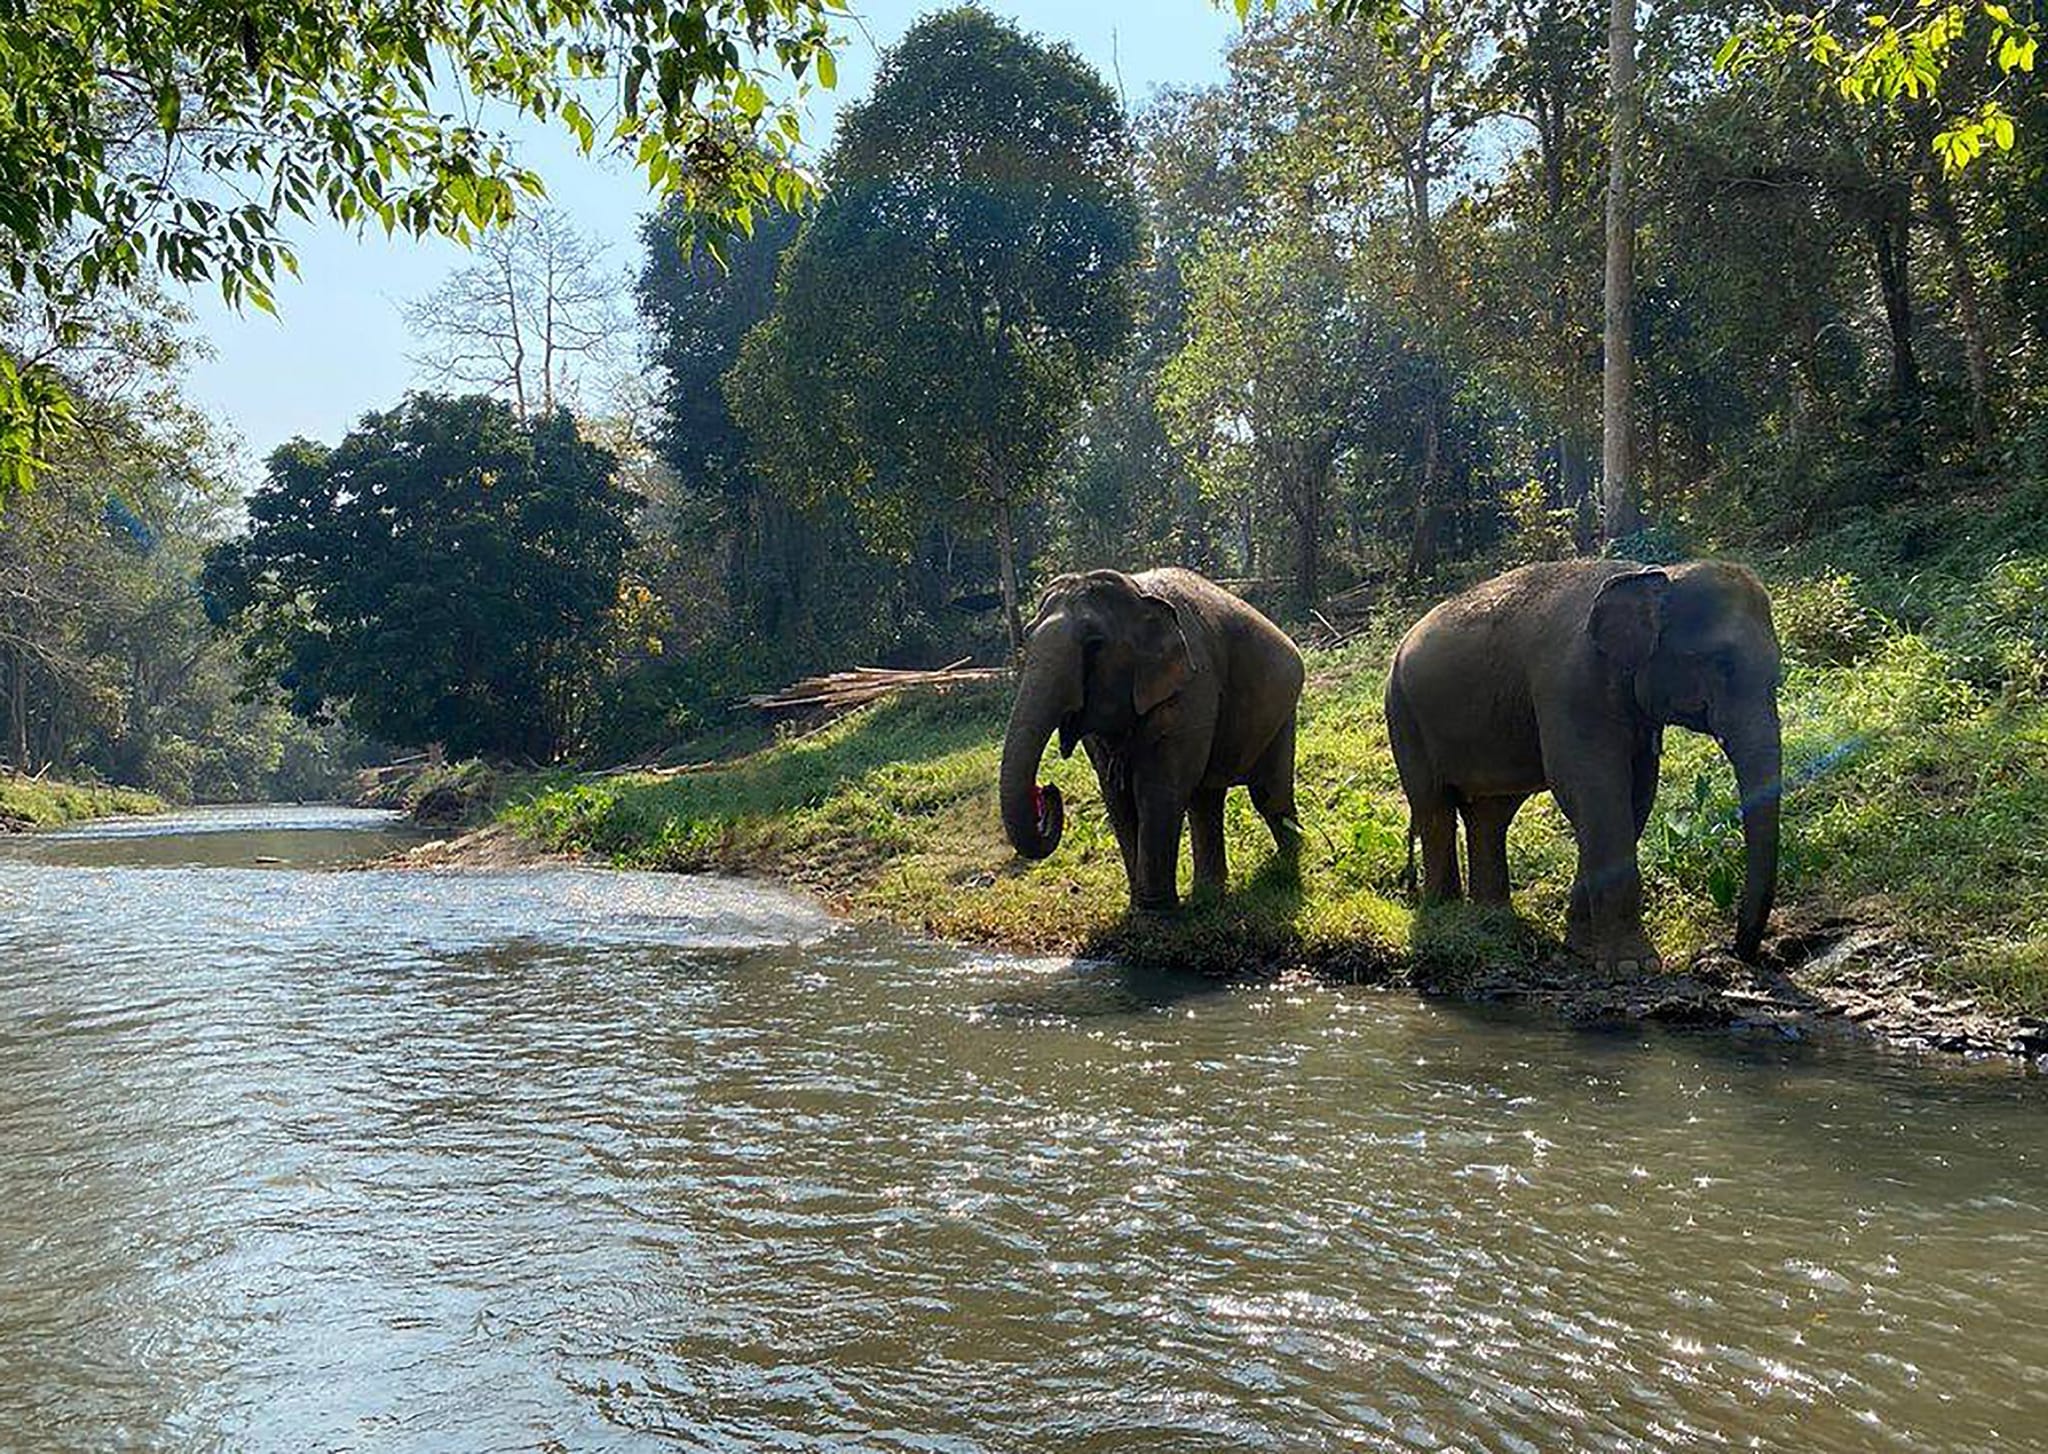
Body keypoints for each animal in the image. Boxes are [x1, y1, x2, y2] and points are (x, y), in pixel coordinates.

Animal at [1000, 567, 1305, 912]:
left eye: (1094, 645)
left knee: (1267, 794)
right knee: (1207, 799)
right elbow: (1116, 794)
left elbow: (1157, 788)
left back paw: (1287, 859)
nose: (1048, 790)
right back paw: (1209, 894)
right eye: (1027, 638)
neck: (1136, 593)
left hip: (1283, 710)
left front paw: (1156, 912)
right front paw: (1139, 908)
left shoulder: (1192, 687)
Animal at [1384, 558, 1783, 968]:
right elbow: (1594, 790)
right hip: (1403, 714)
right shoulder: (1569, 684)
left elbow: (1635, 796)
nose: (1741, 952)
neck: (1653, 576)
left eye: (1777, 675)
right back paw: (1445, 917)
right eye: (1721, 663)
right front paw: (1632, 965)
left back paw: (1492, 922)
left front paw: (1583, 949)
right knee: (1434, 807)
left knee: (1489, 816)